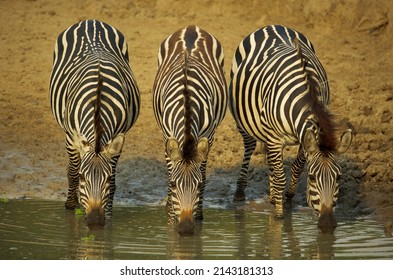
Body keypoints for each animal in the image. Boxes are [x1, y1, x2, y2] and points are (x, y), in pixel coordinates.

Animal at [49, 19, 139, 226]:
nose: (95, 221)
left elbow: (114, 182)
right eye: (84, 178)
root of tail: (91, 21)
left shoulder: (117, 139)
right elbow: (72, 173)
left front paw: (109, 214)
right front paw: (71, 207)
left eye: (105, 180)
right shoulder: (71, 137)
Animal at [153, 26, 227, 235]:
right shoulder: (167, 135)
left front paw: (199, 217)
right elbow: (170, 170)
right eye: (173, 184)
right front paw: (171, 219)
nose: (186, 229)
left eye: (199, 184)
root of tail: (191, 28)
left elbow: (202, 171)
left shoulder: (209, 136)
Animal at [227, 25, 352, 232]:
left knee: (272, 162)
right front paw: (279, 215)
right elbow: (280, 177)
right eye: (312, 178)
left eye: (339, 178)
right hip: (245, 120)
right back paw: (239, 192)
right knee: (250, 147)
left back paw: (272, 196)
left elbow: (295, 168)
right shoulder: (275, 138)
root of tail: (274, 25)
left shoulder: (304, 139)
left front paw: (287, 200)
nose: (327, 225)